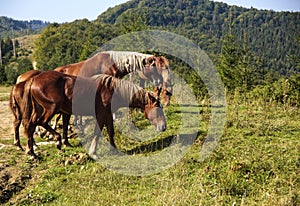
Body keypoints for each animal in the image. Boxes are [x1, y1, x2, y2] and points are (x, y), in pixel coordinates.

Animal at [21, 71, 166, 158]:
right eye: (158, 109)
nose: (163, 127)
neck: (112, 90)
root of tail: (33, 80)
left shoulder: (108, 115)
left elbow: (111, 131)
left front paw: (114, 149)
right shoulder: (101, 115)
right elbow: (98, 132)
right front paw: (93, 152)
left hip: (39, 109)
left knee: (31, 125)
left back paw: (32, 152)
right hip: (51, 108)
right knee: (41, 122)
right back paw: (57, 141)